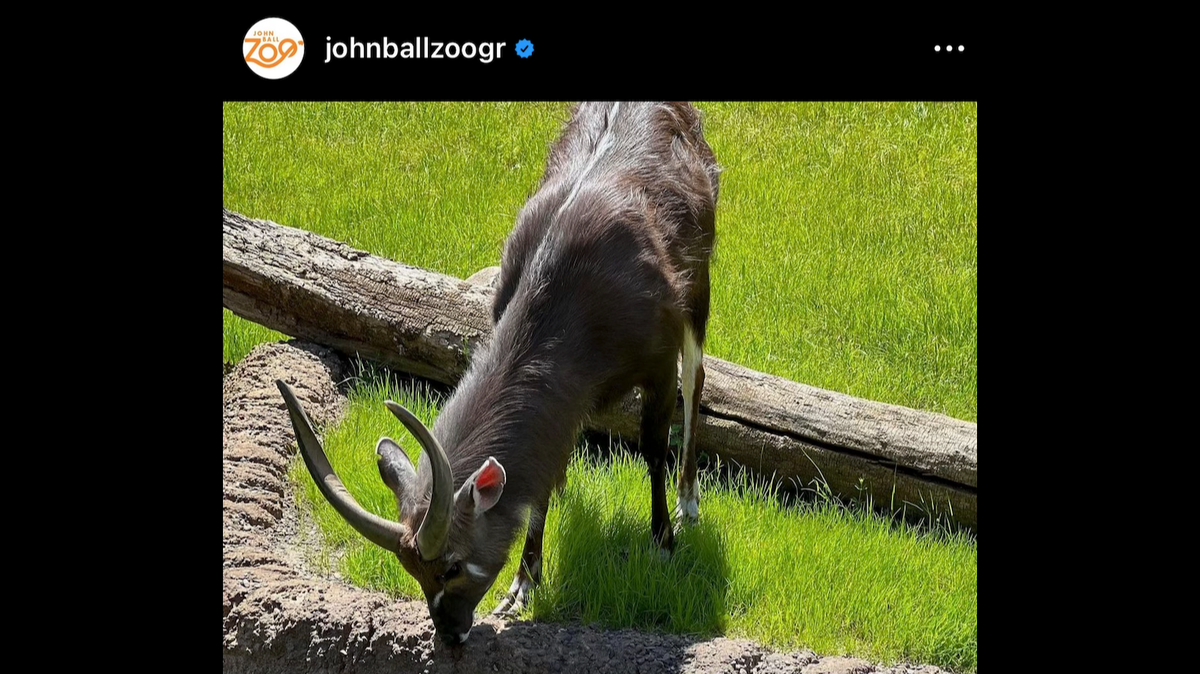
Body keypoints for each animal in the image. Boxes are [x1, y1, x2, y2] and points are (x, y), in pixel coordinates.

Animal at [277, 101, 718, 646]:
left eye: (452, 566)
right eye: (413, 571)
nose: (450, 633)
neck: (572, 292)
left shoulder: (657, 362)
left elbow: (655, 445)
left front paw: (663, 544)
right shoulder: (565, 399)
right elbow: (545, 471)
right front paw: (523, 585)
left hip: (698, 293)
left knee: (696, 380)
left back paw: (688, 503)